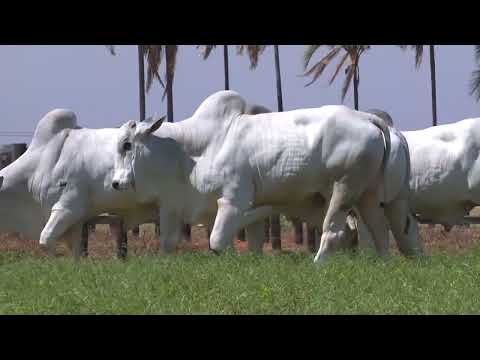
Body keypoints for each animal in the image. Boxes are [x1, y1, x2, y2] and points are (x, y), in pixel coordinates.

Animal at [110, 90, 418, 262]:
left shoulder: (232, 200)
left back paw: (317, 264)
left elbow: (217, 241)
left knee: (334, 231)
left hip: (344, 189)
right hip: (374, 196)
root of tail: (368, 118)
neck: (194, 149)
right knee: (387, 231)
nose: (115, 182)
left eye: (126, 144)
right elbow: (254, 241)